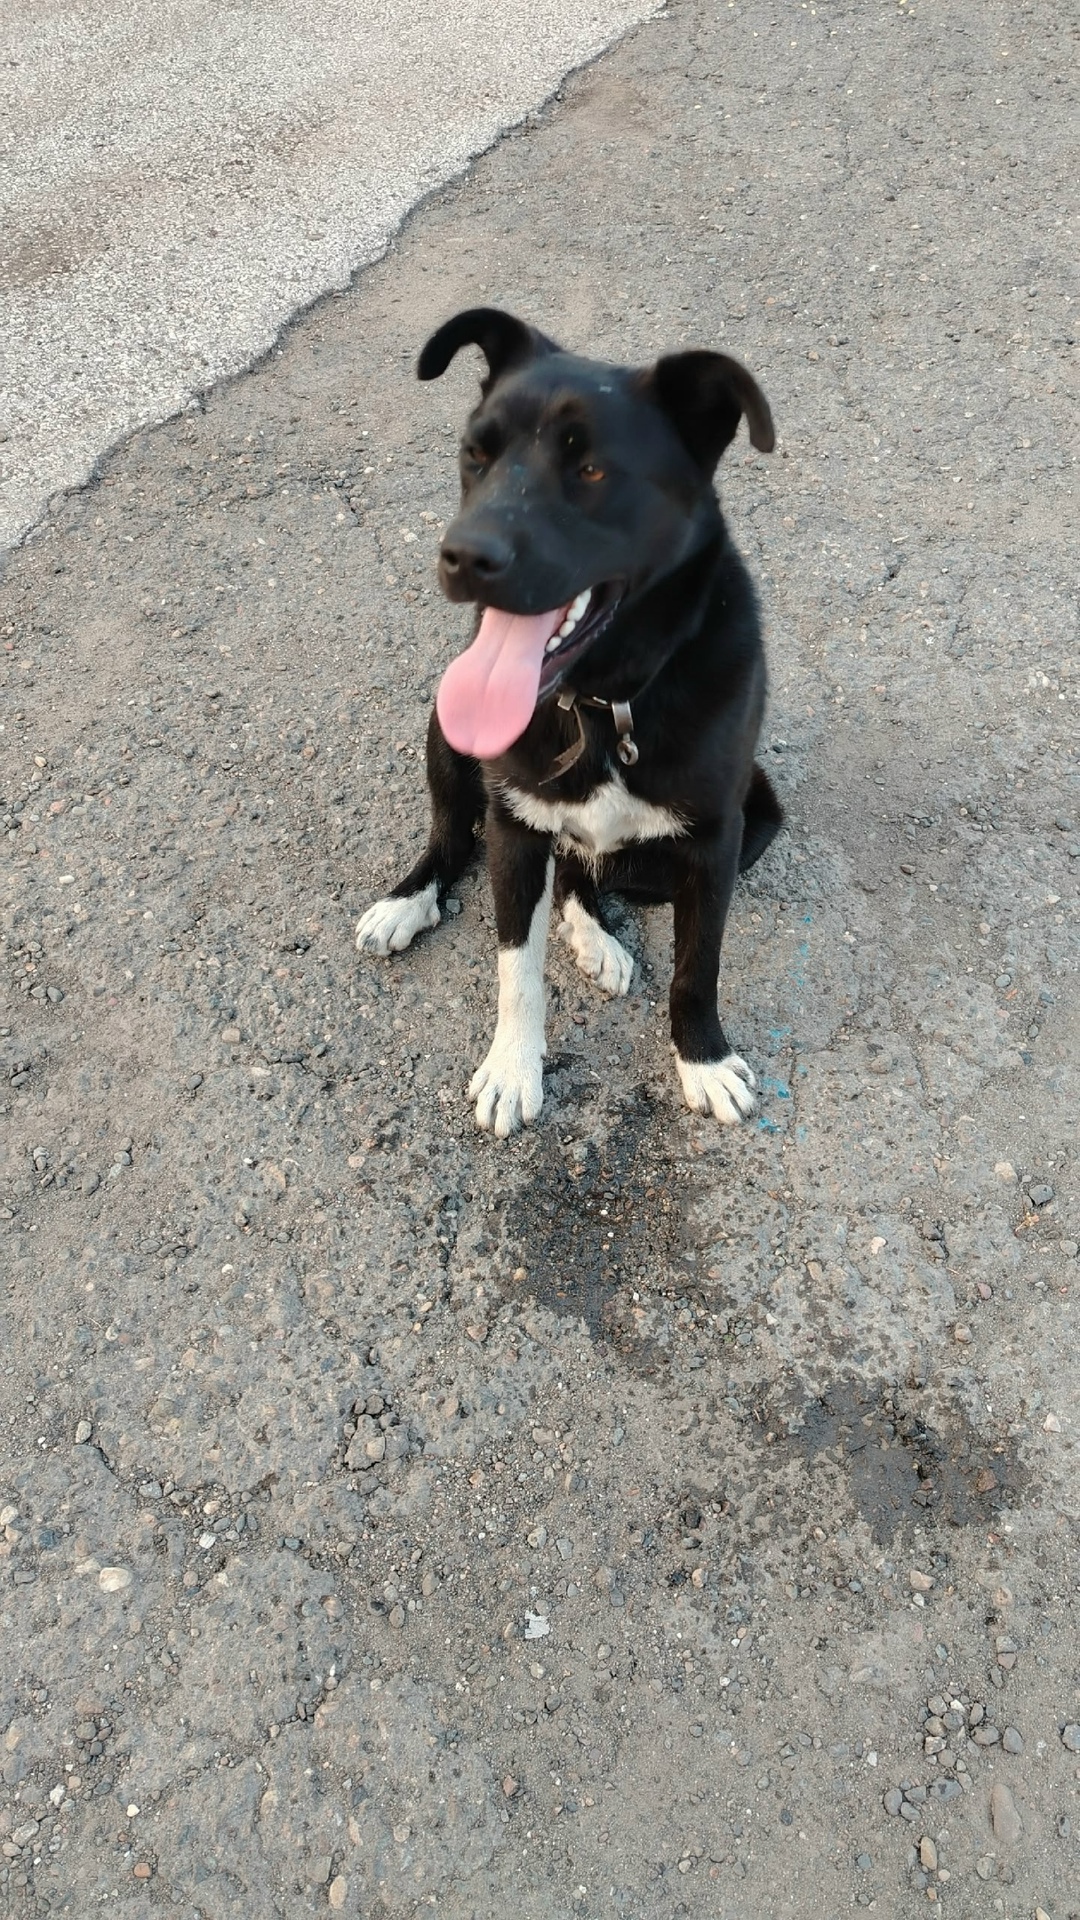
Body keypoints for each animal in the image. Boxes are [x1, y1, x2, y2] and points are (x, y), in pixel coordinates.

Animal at [356, 307, 783, 1137]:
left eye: (591, 472)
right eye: (475, 452)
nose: (462, 556)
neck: (604, 701)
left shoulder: (717, 842)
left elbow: (698, 967)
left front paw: (703, 1059)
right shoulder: (516, 830)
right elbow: (516, 967)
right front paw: (513, 1069)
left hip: (760, 815)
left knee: (588, 874)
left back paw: (598, 939)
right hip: (446, 738)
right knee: (454, 838)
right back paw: (408, 901)